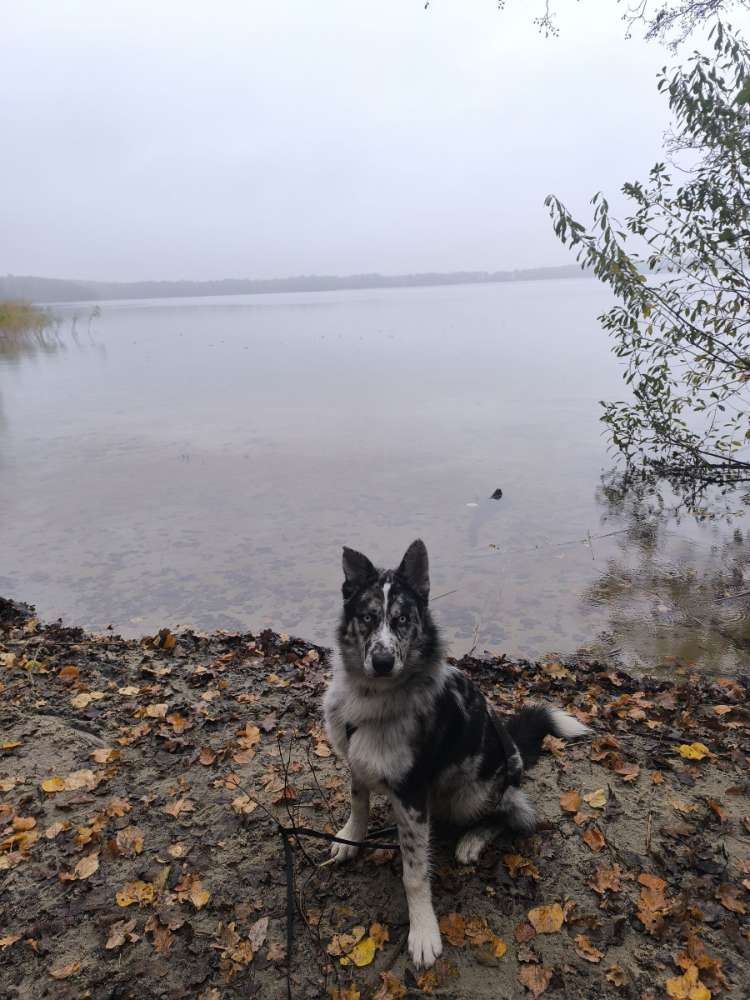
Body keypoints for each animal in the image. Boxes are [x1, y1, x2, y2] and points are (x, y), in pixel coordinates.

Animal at [324, 540, 592, 968]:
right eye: (367, 617)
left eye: (402, 619)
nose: (382, 662)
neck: (374, 698)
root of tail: (514, 753)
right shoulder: (358, 759)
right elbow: (358, 801)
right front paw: (352, 836)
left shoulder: (412, 793)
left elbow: (415, 874)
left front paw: (423, 931)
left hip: (474, 792)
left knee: (515, 815)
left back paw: (472, 840)